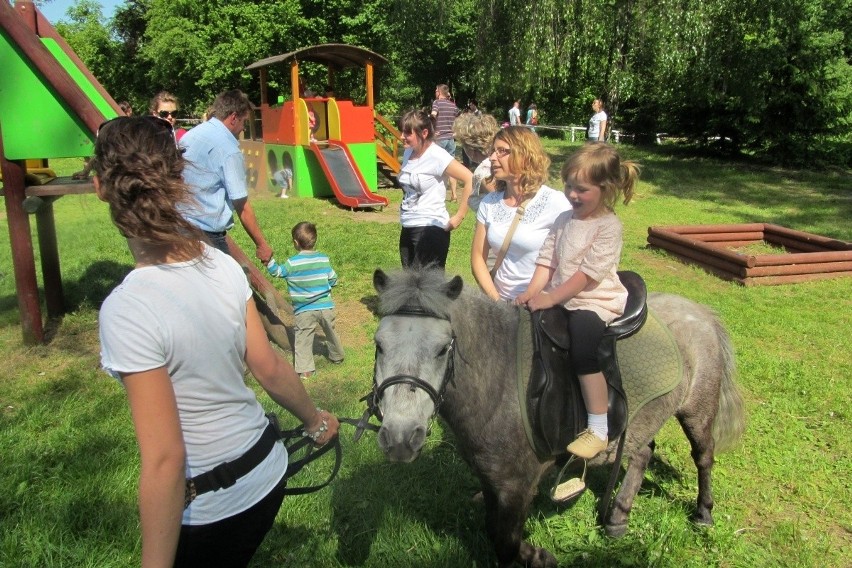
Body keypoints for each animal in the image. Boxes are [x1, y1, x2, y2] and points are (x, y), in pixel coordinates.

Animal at [370, 268, 744, 568]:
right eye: (379, 344)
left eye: (442, 348)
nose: (400, 439)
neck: (500, 377)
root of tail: (699, 311)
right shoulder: (492, 479)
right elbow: (493, 528)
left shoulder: (517, 484)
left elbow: (505, 542)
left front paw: (538, 556)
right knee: (642, 453)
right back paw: (618, 517)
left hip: (697, 409)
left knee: (703, 456)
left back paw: (704, 513)